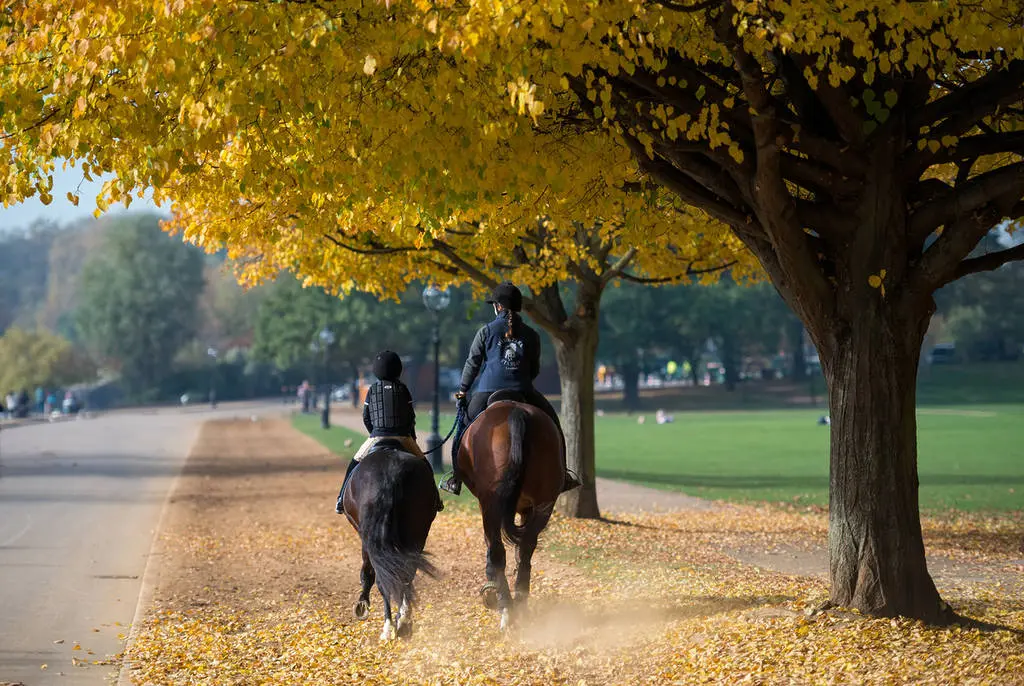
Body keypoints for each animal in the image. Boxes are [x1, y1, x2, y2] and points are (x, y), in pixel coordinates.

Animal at [341, 441, 440, 641]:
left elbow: (367, 573)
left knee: (384, 579)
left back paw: (389, 627)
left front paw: (362, 604)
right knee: (406, 574)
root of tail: (390, 472)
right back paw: (403, 620)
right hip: (417, 532)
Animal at [456, 392, 564, 631]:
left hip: (490, 504)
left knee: (497, 550)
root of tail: (517, 412)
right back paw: (520, 603)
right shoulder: (526, 508)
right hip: (543, 503)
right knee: (526, 547)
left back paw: (505, 605)